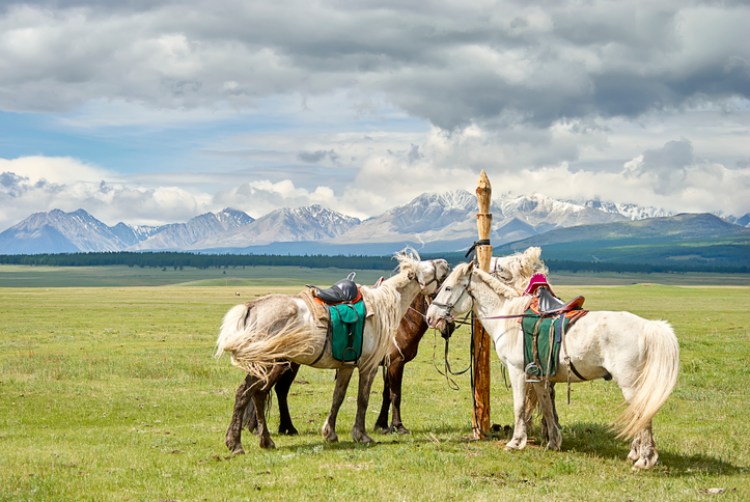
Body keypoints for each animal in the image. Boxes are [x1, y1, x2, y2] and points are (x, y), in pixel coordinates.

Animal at [214, 249, 450, 452]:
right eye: (428, 268)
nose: (446, 263)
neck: (385, 306)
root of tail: (252, 307)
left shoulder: (348, 366)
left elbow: (339, 397)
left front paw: (331, 433)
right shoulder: (371, 365)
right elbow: (366, 398)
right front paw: (364, 434)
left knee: (258, 394)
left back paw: (265, 440)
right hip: (273, 364)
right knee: (247, 393)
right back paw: (237, 444)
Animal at [428, 260, 680, 468]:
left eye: (448, 288)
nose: (430, 318)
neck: (509, 318)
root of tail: (647, 327)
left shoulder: (518, 371)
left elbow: (519, 407)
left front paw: (516, 442)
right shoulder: (538, 376)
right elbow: (547, 406)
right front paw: (554, 443)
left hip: (629, 384)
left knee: (643, 415)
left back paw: (644, 460)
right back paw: (635, 454)